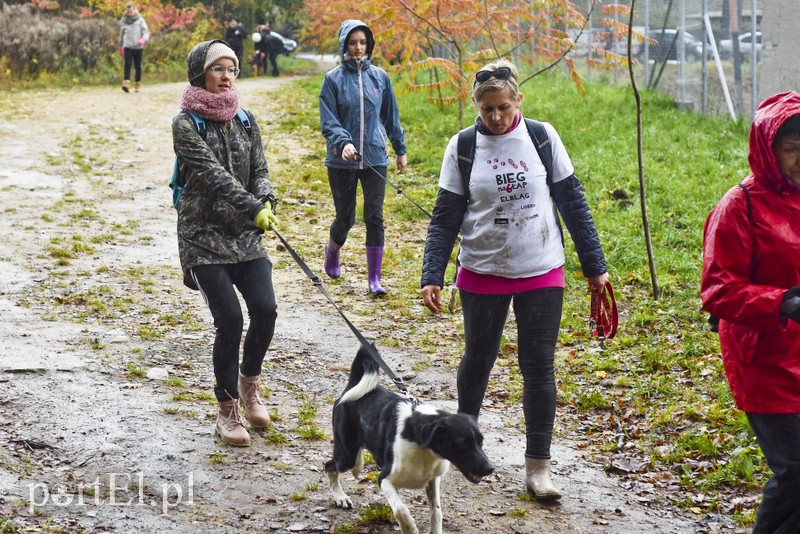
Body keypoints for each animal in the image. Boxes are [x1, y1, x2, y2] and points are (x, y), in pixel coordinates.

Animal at [324, 348, 494, 534]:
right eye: (462, 443)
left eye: (481, 442)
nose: (490, 468)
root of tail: (354, 382)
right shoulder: (385, 480)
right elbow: (400, 509)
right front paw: (410, 528)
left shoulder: (433, 481)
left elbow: (436, 512)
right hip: (346, 454)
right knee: (330, 466)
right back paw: (340, 496)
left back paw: (357, 466)